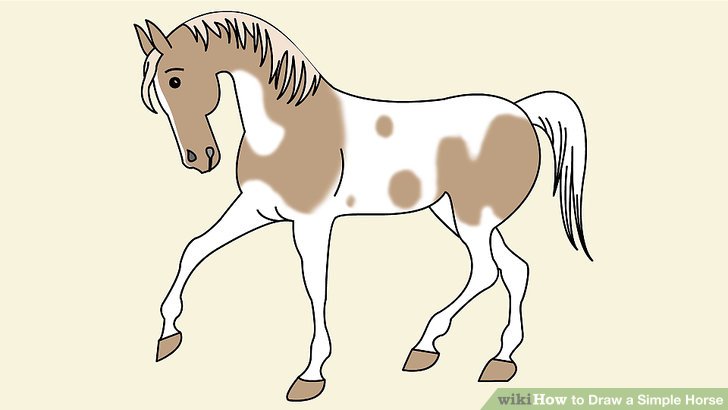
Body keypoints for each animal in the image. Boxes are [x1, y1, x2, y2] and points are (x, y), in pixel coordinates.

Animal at [134, 11, 592, 402]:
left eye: (175, 80)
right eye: (154, 94)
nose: (200, 158)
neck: (286, 129)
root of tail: (521, 110)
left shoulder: (312, 223)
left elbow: (315, 287)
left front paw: (311, 375)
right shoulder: (256, 209)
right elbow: (195, 248)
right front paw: (167, 336)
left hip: (474, 218)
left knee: (486, 271)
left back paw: (428, 346)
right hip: (458, 215)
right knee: (515, 269)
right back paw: (497, 359)